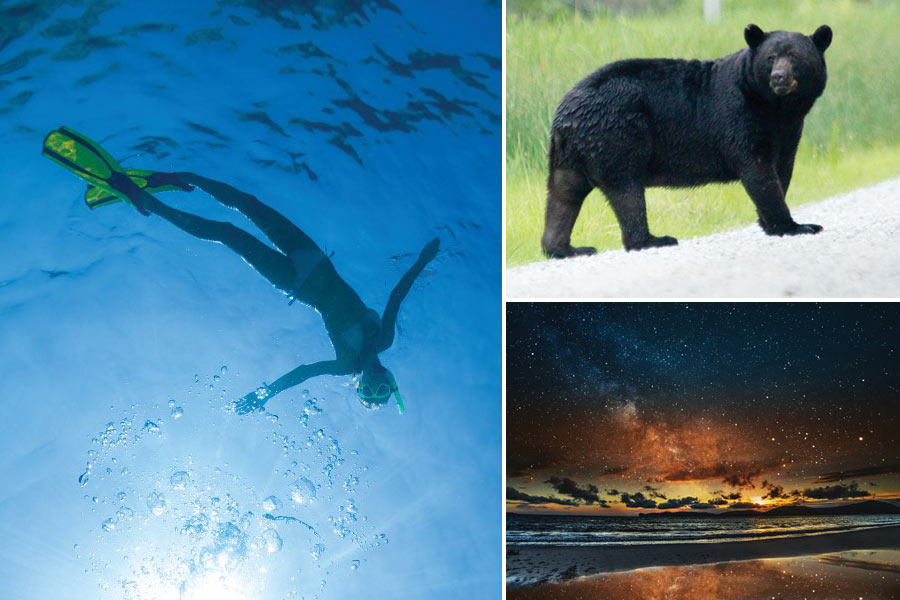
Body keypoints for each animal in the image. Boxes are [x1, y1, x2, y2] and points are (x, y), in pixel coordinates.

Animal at [540, 23, 828, 256]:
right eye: (771, 58)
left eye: (796, 57)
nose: (779, 77)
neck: (773, 107)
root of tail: (564, 113)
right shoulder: (740, 116)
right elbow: (758, 170)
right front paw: (794, 226)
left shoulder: (788, 129)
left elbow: (782, 167)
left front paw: (768, 223)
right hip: (617, 134)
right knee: (626, 189)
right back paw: (653, 240)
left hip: (569, 154)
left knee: (563, 194)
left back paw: (566, 248)